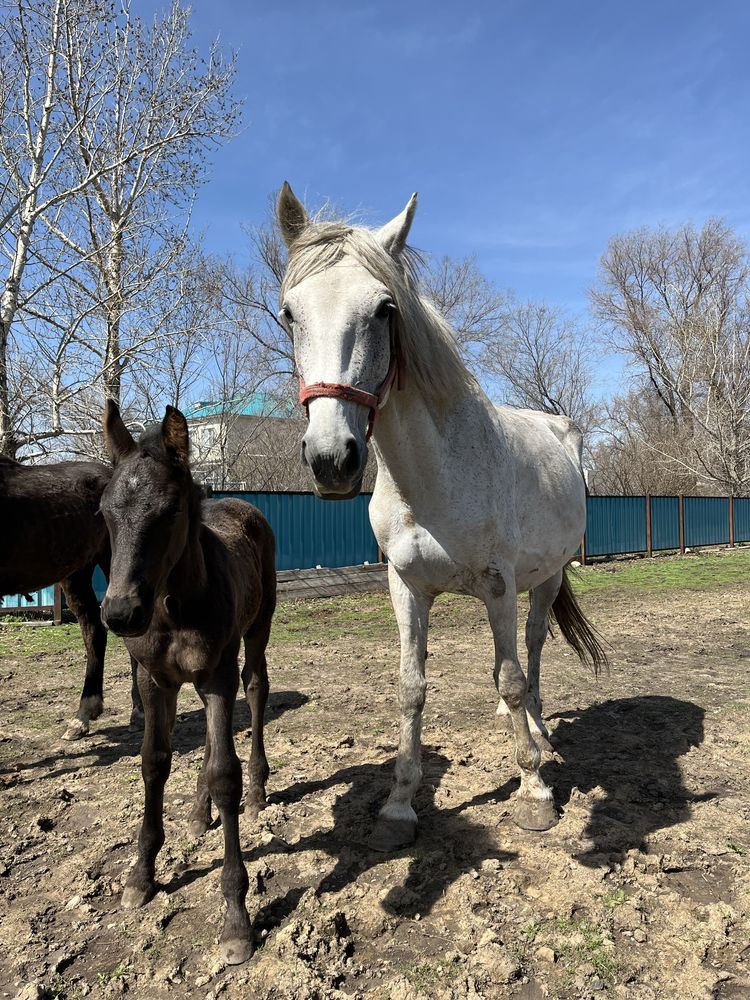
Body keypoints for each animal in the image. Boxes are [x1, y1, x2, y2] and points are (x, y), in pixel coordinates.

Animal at [100, 400, 276, 968]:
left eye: (170, 512)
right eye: (105, 513)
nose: (119, 614)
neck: (172, 605)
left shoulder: (217, 673)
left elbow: (225, 773)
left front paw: (236, 919)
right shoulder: (155, 680)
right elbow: (154, 762)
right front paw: (141, 875)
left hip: (257, 629)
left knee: (257, 688)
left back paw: (258, 790)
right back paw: (199, 814)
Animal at [276, 186, 604, 852]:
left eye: (384, 310)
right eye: (290, 314)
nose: (331, 459)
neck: (431, 477)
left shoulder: (499, 586)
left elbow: (510, 675)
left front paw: (534, 792)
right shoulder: (406, 587)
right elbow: (411, 688)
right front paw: (399, 806)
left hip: (546, 579)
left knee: (532, 649)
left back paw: (538, 729)